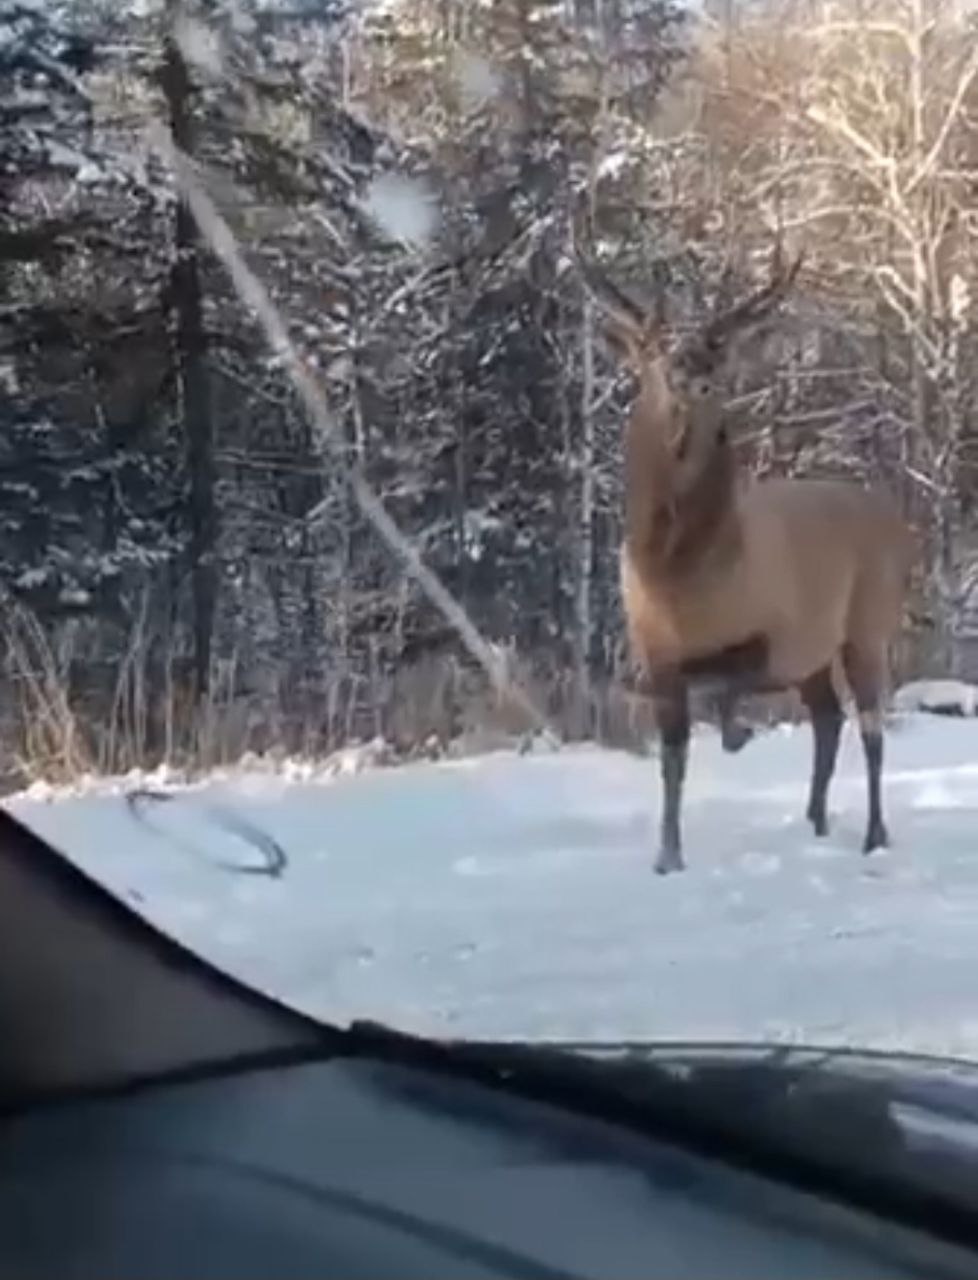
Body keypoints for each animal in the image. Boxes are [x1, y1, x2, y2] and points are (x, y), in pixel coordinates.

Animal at [576, 245, 911, 875]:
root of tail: (888, 513)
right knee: (828, 718)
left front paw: (737, 736)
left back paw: (875, 835)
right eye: (652, 348)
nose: (689, 370)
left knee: (871, 727)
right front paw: (667, 856)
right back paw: (814, 819)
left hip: (867, 623)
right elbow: (674, 754)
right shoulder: (656, 653)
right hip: (817, 652)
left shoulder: (773, 633)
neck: (679, 574)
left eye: (716, 348)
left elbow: (725, 689)